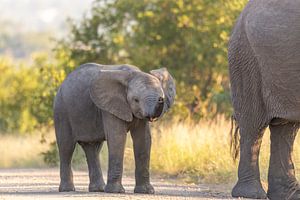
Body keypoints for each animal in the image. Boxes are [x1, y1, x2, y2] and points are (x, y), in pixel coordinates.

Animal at [53, 63, 176, 194]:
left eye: (162, 96)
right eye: (136, 100)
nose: (161, 99)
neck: (133, 74)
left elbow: (143, 139)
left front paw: (146, 191)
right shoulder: (110, 106)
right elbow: (117, 137)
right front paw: (116, 191)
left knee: (93, 148)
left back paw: (98, 189)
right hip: (61, 110)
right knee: (66, 147)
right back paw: (67, 190)